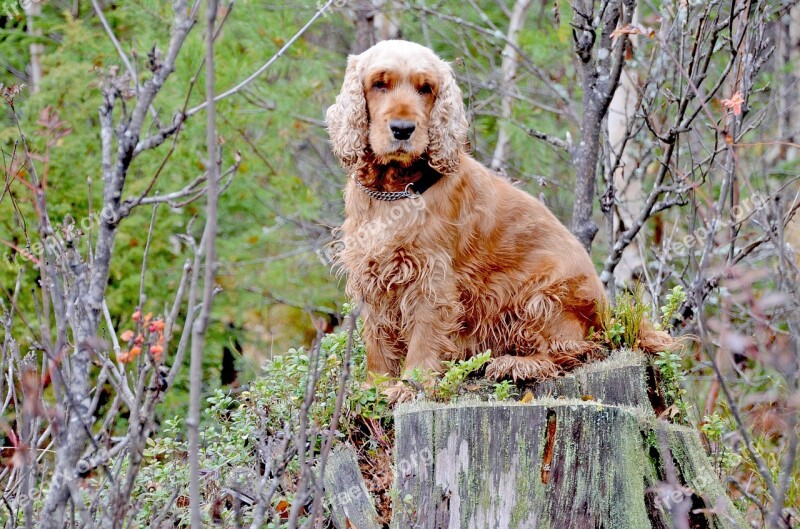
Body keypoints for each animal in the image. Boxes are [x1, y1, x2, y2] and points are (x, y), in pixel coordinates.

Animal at [324, 41, 668, 396]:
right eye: (379, 84)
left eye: (425, 88)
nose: (403, 129)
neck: (394, 189)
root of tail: (606, 313)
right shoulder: (372, 272)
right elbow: (376, 339)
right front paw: (374, 387)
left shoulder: (431, 277)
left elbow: (423, 335)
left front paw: (411, 386)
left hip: (541, 298)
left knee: (573, 350)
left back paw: (515, 364)